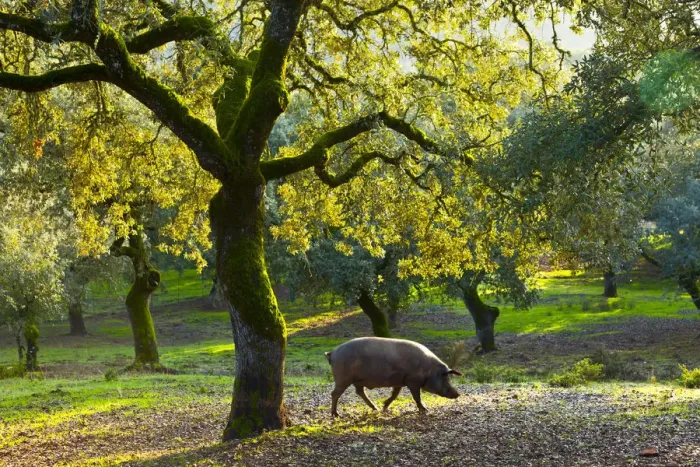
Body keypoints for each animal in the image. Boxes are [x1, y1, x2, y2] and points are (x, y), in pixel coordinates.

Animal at [324, 337, 462, 417]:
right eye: (445, 377)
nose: (457, 394)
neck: (428, 369)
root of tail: (332, 353)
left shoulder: (399, 381)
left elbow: (395, 394)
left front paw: (385, 407)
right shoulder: (413, 382)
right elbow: (416, 397)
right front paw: (425, 410)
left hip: (356, 380)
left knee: (360, 392)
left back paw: (375, 408)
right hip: (342, 378)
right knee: (334, 394)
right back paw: (336, 414)